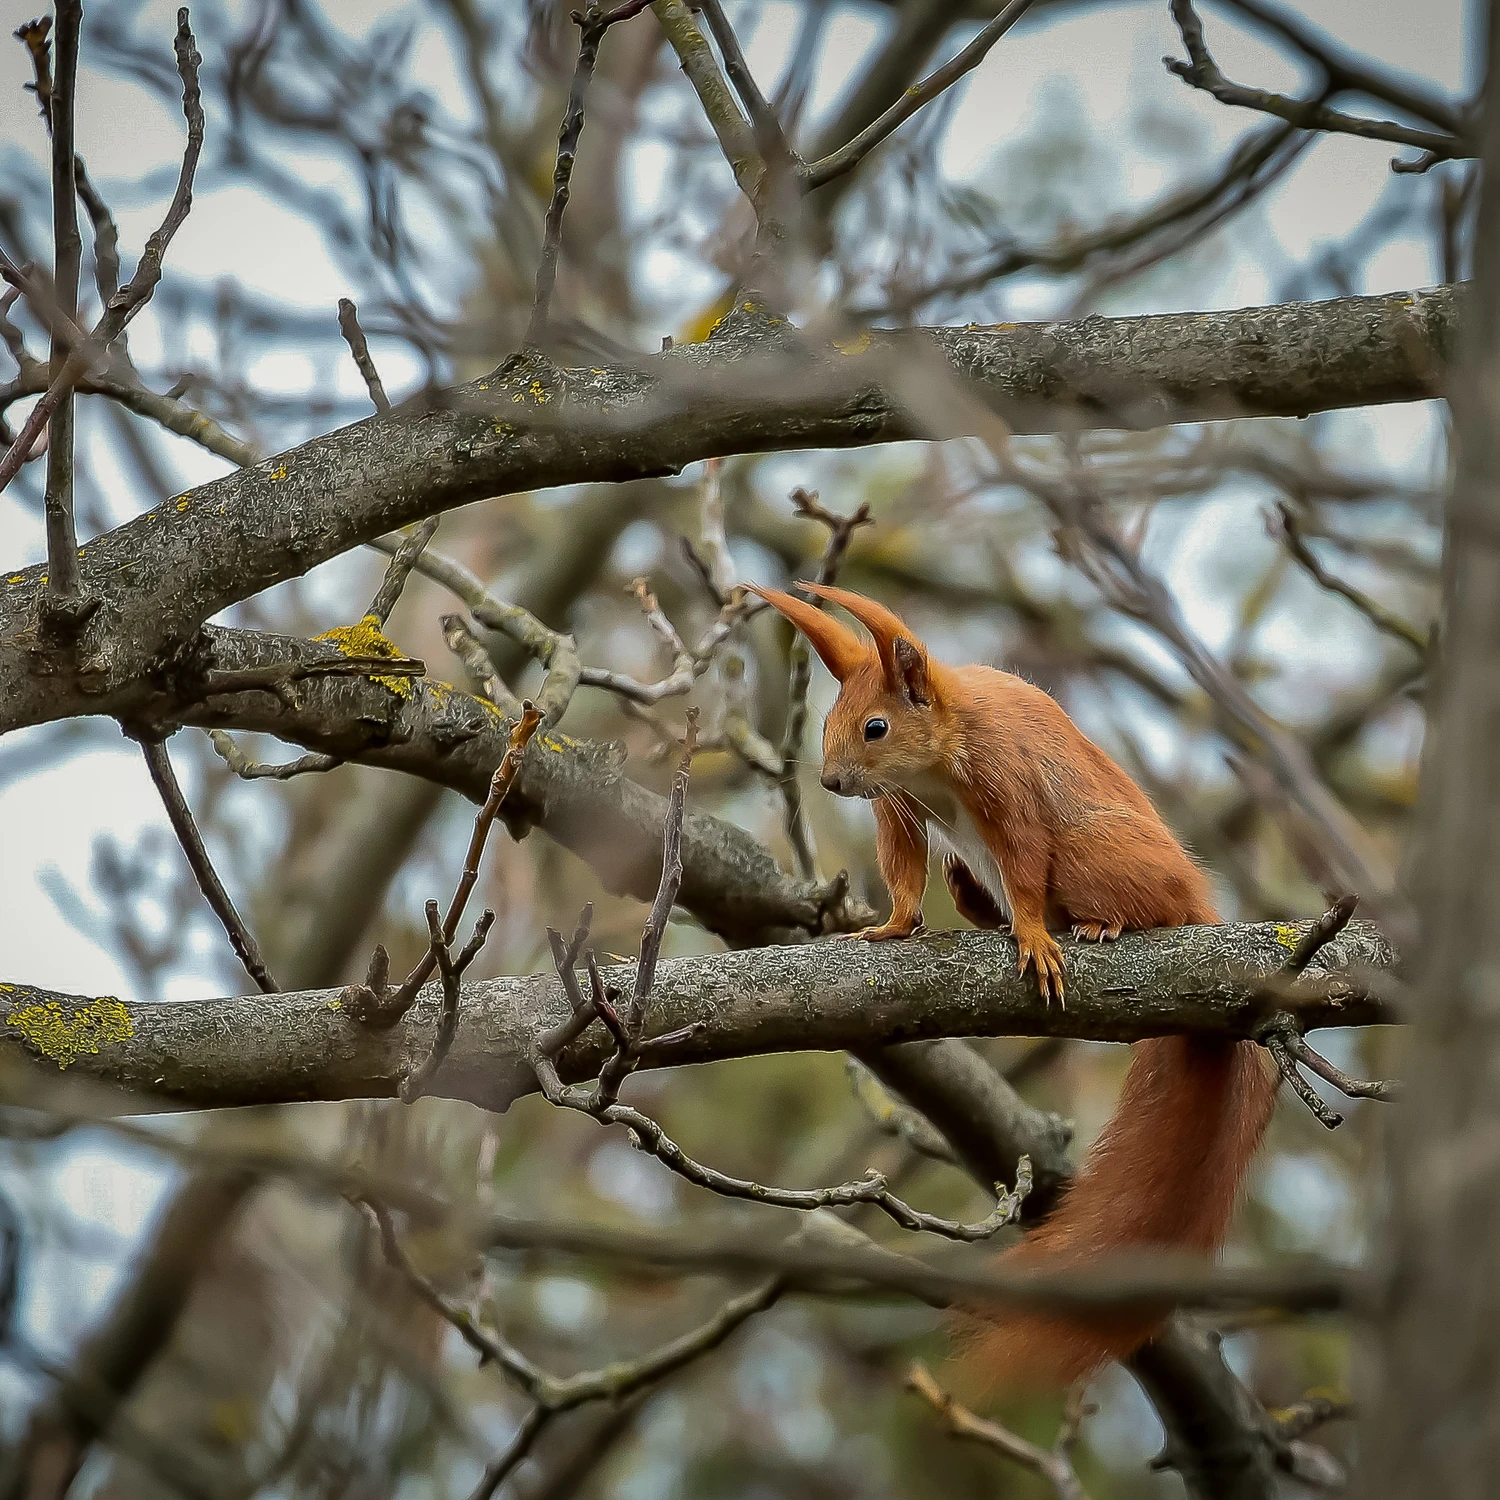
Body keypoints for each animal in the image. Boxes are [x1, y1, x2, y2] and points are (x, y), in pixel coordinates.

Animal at [750, 579, 1278, 1386]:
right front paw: (892, 928)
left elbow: (1025, 864)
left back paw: (1100, 926)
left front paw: (1030, 934)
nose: (832, 781)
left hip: (1096, 852)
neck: (937, 759)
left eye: (875, 727)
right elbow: (906, 874)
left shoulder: (1009, 783)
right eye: (831, 721)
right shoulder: (902, 808)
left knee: (1134, 899)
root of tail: (1199, 902)